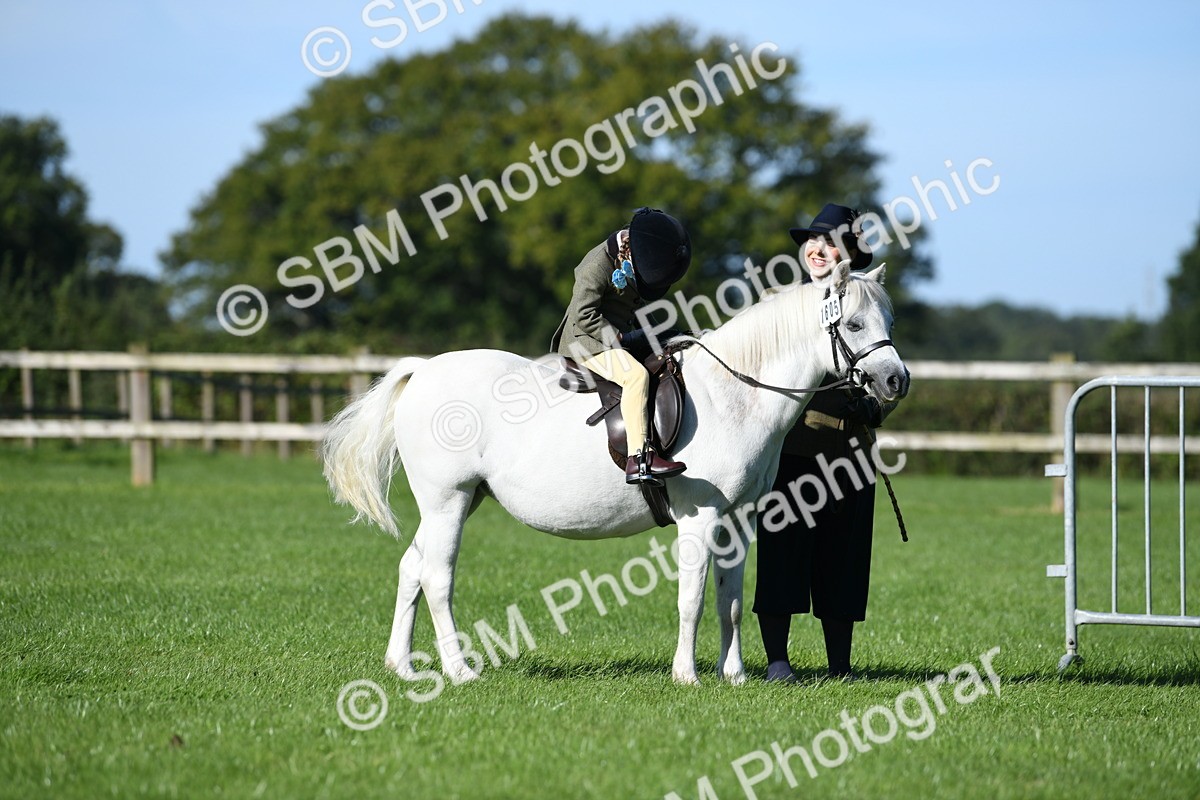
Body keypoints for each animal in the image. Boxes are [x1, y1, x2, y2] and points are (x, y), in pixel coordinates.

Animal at [321, 260, 909, 686]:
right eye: (854, 323)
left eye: (889, 323)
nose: (896, 381)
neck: (735, 392)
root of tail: (423, 370)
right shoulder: (700, 518)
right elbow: (693, 599)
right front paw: (687, 677)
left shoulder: (738, 523)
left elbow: (733, 601)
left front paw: (736, 676)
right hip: (448, 501)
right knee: (437, 578)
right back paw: (460, 671)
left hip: (462, 501)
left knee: (411, 568)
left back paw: (401, 666)